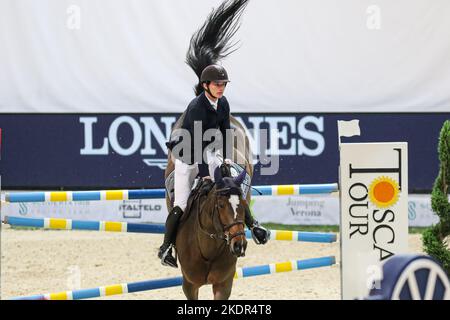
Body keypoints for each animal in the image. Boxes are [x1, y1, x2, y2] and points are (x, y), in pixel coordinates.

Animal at [163, 114, 253, 298]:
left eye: (242, 203)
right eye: (220, 205)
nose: (239, 244)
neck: (208, 247)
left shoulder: (224, 284)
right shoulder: (190, 284)